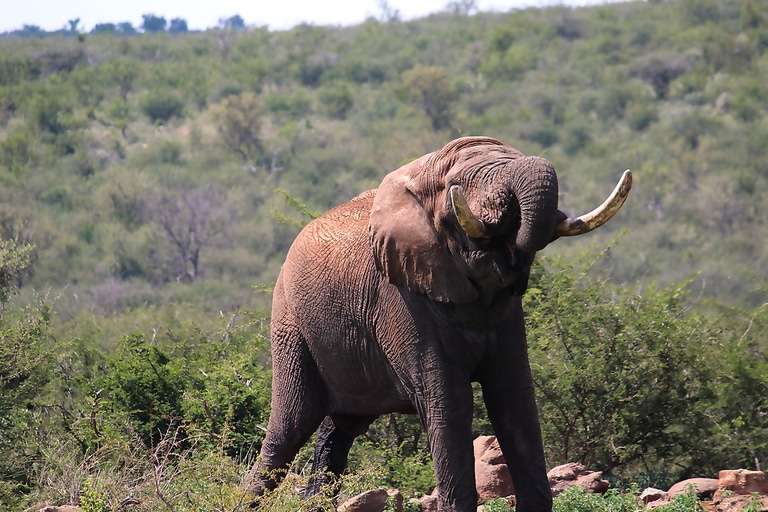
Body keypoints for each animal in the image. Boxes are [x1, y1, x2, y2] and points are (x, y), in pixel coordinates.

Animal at [249, 137, 632, 512]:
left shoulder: (508, 316)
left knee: (340, 427)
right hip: (290, 324)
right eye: (457, 185)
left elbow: (514, 397)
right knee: (290, 426)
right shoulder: (402, 299)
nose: (513, 253)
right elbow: (450, 402)